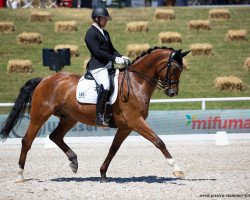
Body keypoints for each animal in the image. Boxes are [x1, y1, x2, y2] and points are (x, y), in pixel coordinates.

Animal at [0, 45, 189, 183]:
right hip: (39, 116)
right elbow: (159, 141)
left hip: (69, 118)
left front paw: (103, 173)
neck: (136, 83)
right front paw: (177, 169)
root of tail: (44, 79)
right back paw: (20, 175)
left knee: (55, 136)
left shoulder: (126, 127)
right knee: (27, 141)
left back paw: (74, 162)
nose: (172, 92)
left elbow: (113, 149)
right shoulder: (136, 121)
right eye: (174, 68)